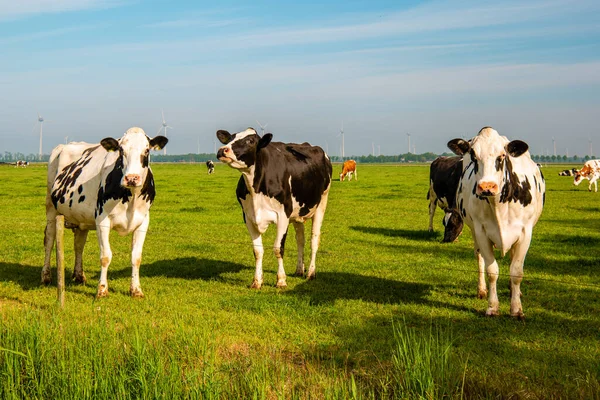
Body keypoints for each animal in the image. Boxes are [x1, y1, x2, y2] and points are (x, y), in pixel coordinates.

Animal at [42, 127, 168, 296]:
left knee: (79, 245)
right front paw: (102, 290)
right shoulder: (102, 221)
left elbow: (136, 257)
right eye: (121, 150)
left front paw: (136, 290)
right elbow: (105, 256)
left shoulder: (143, 222)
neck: (131, 198)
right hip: (51, 208)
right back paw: (46, 276)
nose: (132, 178)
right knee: (49, 240)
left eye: (147, 150)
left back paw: (79, 275)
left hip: (81, 218)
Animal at [217, 128, 332, 288]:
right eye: (230, 138)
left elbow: (278, 248)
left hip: (321, 205)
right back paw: (299, 269)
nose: (223, 150)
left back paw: (311, 273)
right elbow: (257, 250)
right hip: (297, 213)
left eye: (250, 141)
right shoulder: (248, 217)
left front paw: (281, 280)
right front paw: (257, 281)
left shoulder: (283, 216)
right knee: (300, 239)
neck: (256, 189)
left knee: (314, 240)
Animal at [450, 126, 544, 318]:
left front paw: (516, 309)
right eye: (473, 155)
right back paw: (482, 290)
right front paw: (492, 307)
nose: (486, 187)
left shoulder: (525, 233)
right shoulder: (481, 231)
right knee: (479, 256)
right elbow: (492, 270)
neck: (498, 204)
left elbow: (516, 271)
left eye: (502, 156)